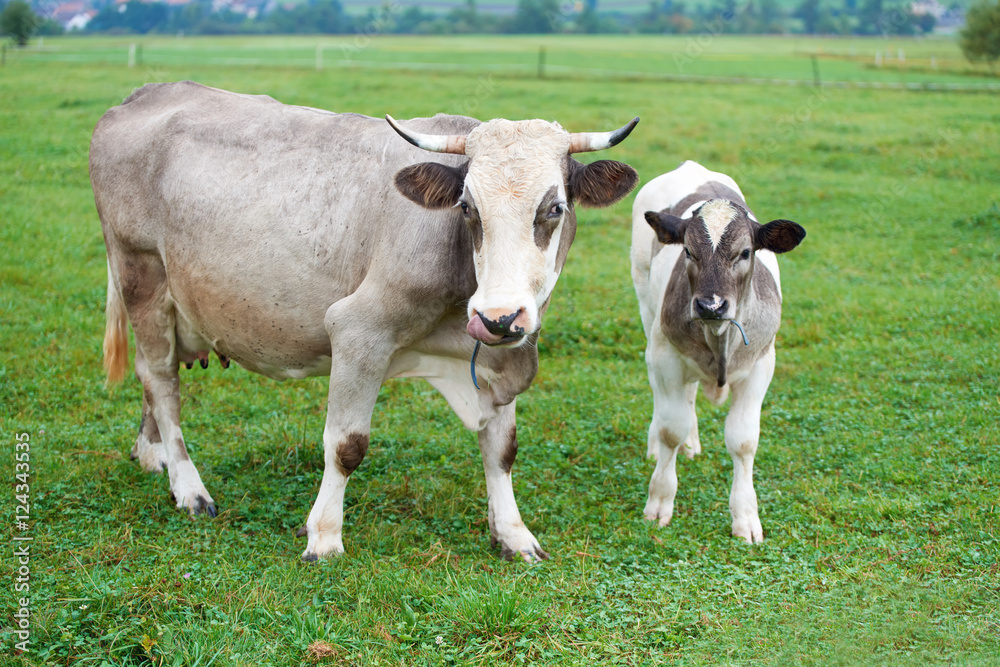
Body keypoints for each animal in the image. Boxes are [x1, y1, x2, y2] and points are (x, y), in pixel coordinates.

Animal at [90, 81, 639, 561]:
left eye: (555, 207)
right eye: (467, 207)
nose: (497, 317)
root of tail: (145, 95)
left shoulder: (502, 355)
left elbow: (502, 450)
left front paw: (513, 534)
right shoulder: (358, 332)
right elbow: (346, 445)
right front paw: (324, 536)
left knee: (151, 377)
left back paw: (152, 454)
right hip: (141, 275)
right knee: (161, 381)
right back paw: (188, 486)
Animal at [630, 161, 805, 543]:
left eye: (745, 252)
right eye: (688, 251)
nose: (711, 305)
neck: (718, 337)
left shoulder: (762, 365)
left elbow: (743, 440)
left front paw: (746, 517)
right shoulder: (665, 356)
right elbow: (671, 428)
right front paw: (659, 501)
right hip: (646, 310)